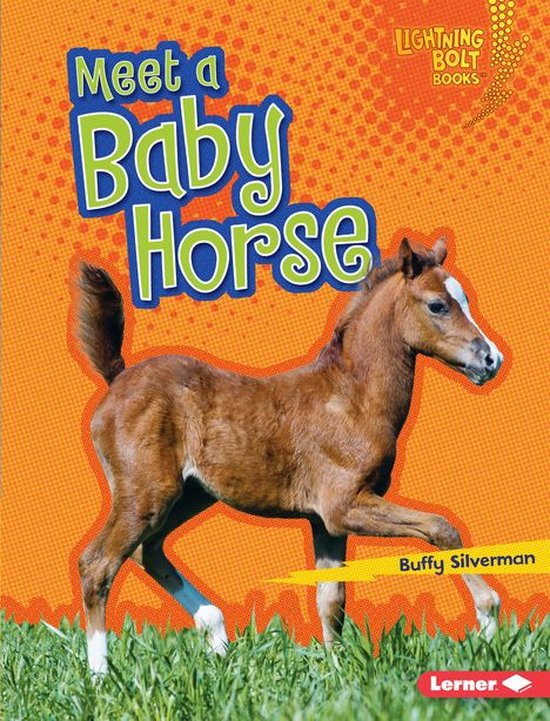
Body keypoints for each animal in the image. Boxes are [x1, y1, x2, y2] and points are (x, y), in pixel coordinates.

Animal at [76, 237, 504, 674]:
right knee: (98, 565)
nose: (490, 359)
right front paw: (488, 622)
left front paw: (337, 673)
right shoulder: (344, 506)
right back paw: (100, 675)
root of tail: (117, 378)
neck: (352, 398)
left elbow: (331, 601)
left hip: (186, 496)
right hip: (147, 494)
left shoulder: (326, 523)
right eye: (437, 305)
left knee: (148, 551)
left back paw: (218, 638)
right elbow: (441, 528)